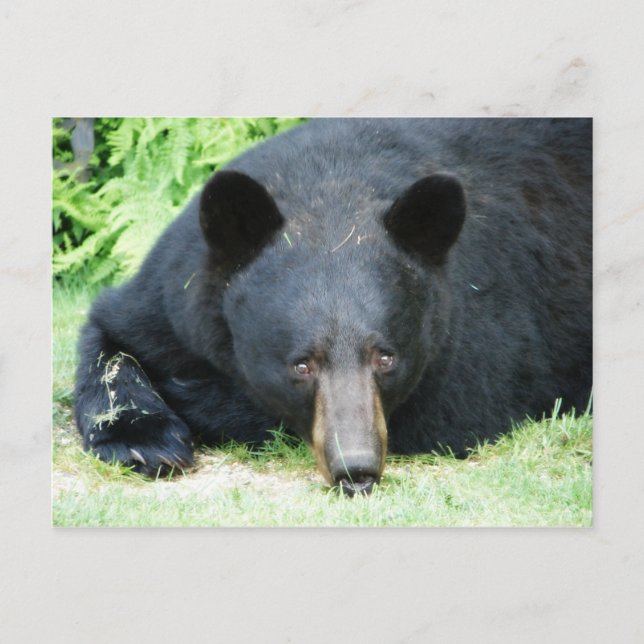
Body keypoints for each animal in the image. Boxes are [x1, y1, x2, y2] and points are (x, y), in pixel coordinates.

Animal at [74, 118, 592, 496]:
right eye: (301, 364)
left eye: (386, 358)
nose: (356, 469)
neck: (335, 185)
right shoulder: (178, 293)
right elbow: (115, 337)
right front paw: (145, 442)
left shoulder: (482, 332)